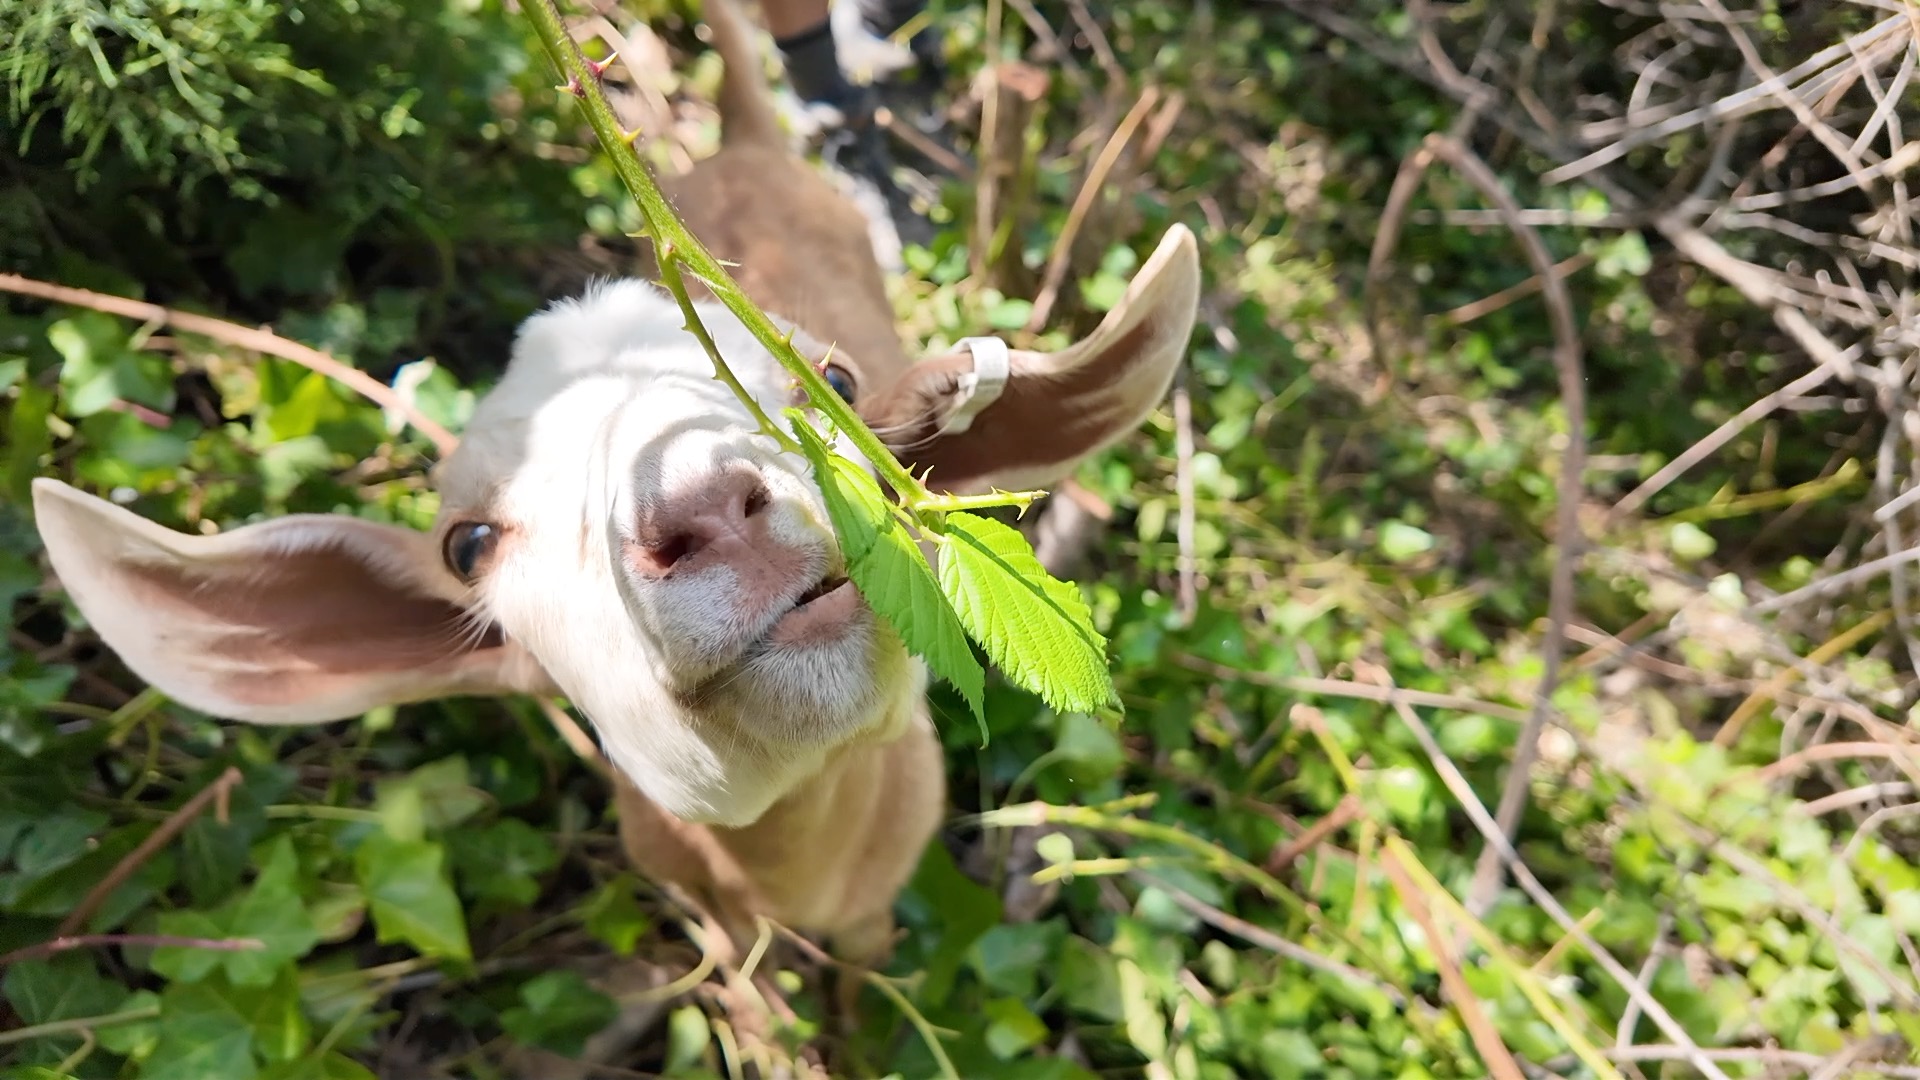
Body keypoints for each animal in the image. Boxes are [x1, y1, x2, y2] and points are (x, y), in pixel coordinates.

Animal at [29, 0, 1199, 1064]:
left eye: (833, 379)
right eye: (467, 543)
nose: (705, 508)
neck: (795, 866)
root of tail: (742, 146)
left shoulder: (880, 899)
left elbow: (868, 972)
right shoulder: (705, 909)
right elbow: (752, 992)